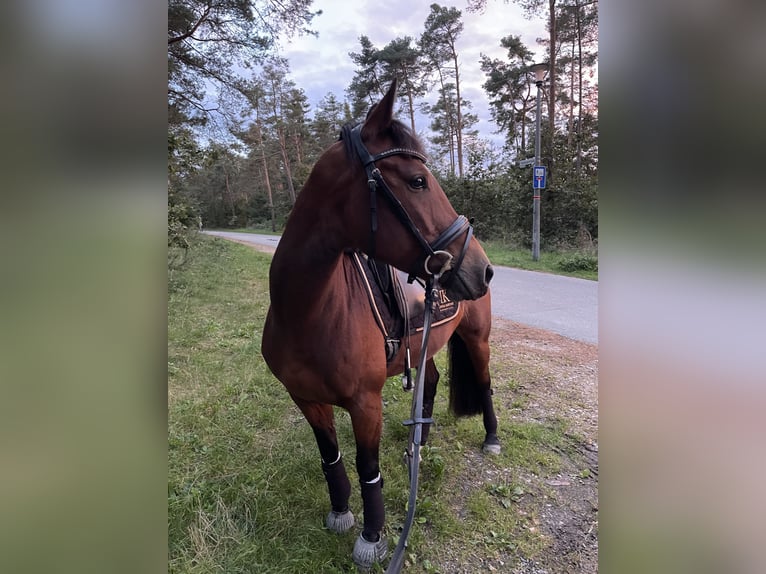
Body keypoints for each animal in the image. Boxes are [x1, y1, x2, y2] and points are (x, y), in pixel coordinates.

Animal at [262, 80, 504, 572]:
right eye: (417, 181)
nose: (482, 270)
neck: (307, 314)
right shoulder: (305, 398)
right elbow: (331, 457)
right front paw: (340, 512)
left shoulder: (364, 402)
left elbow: (366, 467)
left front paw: (371, 537)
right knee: (432, 378)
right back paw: (420, 441)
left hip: (477, 338)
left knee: (485, 382)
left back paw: (490, 438)